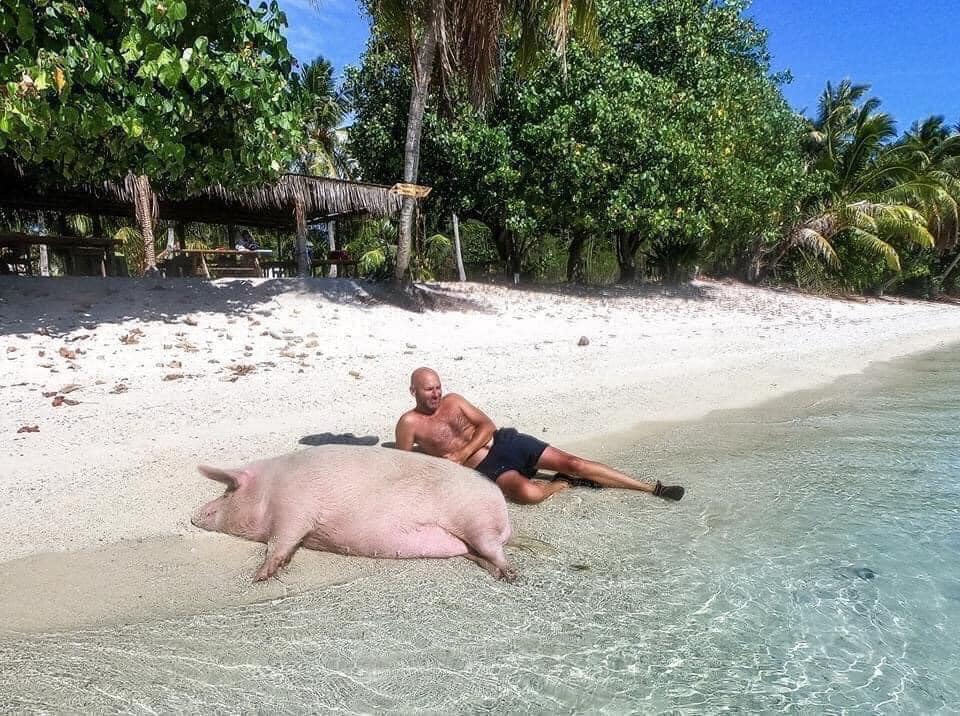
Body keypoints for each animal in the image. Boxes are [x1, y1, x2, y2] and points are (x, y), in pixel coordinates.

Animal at [189, 448, 516, 580]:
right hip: (468, 541)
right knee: (479, 554)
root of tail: (504, 513)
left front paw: (259, 577)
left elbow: (279, 542)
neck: (271, 488)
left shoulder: (296, 509)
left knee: (493, 548)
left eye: (228, 491)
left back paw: (512, 577)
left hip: (476, 519)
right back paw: (498, 575)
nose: (193, 515)